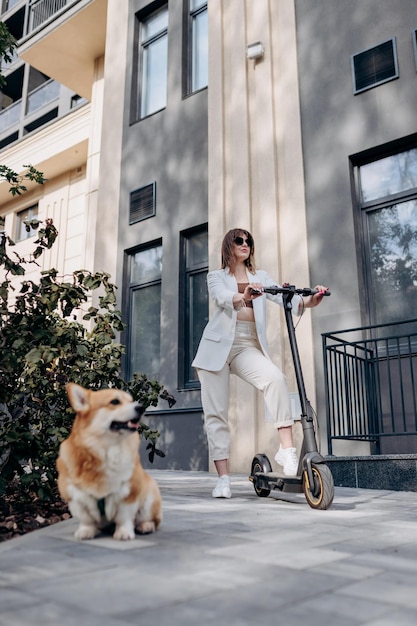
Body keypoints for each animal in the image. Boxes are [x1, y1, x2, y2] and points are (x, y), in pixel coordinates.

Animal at [57, 382, 162, 540]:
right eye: (115, 402)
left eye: (131, 401)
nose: (141, 407)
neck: (105, 450)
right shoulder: (76, 497)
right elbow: (86, 519)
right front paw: (86, 531)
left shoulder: (128, 494)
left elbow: (124, 517)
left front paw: (123, 533)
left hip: (149, 499)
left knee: (150, 520)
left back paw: (145, 526)